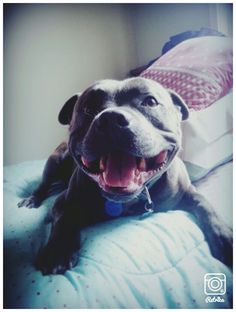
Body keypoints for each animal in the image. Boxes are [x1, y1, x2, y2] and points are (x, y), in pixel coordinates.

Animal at [18, 77, 232, 274]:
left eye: (150, 102)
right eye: (87, 108)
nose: (111, 119)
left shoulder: (188, 191)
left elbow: (205, 204)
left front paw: (225, 235)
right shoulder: (64, 201)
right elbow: (64, 218)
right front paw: (59, 248)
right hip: (54, 162)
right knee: (43, 185)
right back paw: (31, 199)